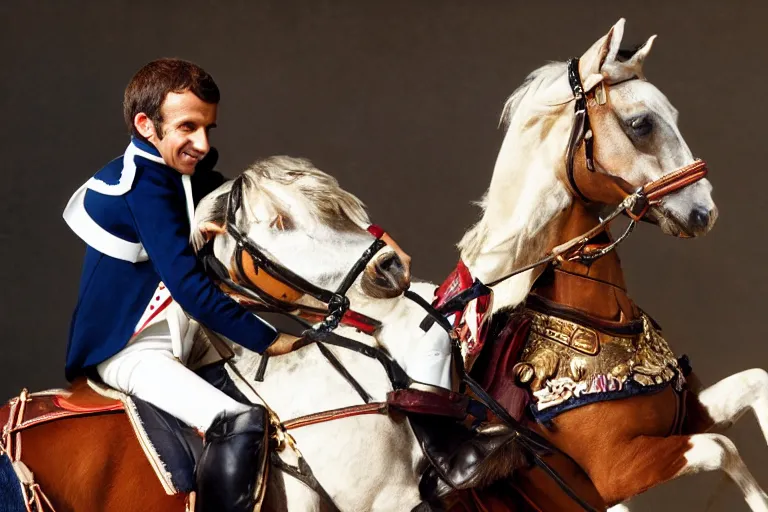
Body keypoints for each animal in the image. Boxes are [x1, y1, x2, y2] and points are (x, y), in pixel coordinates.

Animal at [440, 16, 764, 512]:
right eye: (641, 124)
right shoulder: (618, 472)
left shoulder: (689, 418)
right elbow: (722, 448)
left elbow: (756, 383)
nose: (703, 212)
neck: (600, 317)